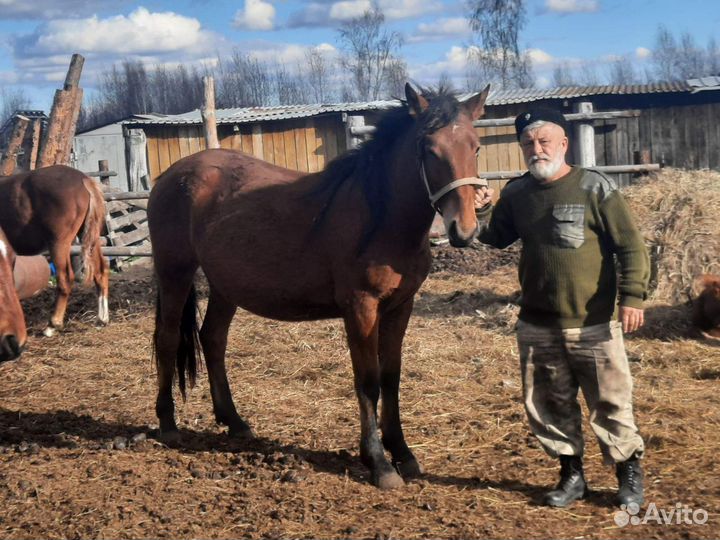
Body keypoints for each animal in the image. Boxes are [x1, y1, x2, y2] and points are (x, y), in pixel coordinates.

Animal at [0, 165, 110, 336]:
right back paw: (102, 319)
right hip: (90, 237)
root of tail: (83, 179)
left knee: (65, 278)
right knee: (100, 271)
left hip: (59, 243)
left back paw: (53, 324)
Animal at [148, 83, 491, 489]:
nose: (464, 229)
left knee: (212, 339)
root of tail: (171, 175)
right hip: (175, 272)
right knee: (168, 339)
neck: (380, 218)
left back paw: (234, 421)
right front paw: (379, 462)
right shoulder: (360, 308)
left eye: (475, 147)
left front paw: (403, 453)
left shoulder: (400, 307)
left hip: (224, 285)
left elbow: (391, 378)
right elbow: (368, 381)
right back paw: (168, 423)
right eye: (429, 148)